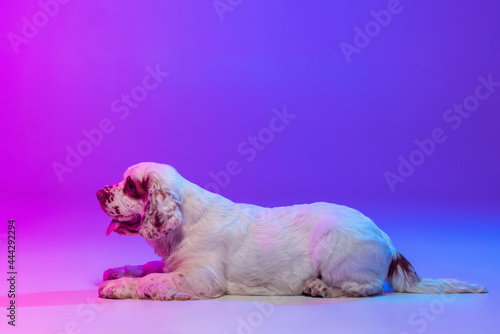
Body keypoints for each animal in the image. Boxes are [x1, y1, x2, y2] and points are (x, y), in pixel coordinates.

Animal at [95, 162, 486, 300]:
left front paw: (117, 287)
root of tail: (389, 242)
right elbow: (150, 267)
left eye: (130, 186)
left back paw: (321, 288)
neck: (182, 227)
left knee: (369, 288)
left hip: (334, 247)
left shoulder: (202, 278)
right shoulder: (175, 263)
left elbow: (153, 279)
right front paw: (118, 271)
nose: (98, 192)